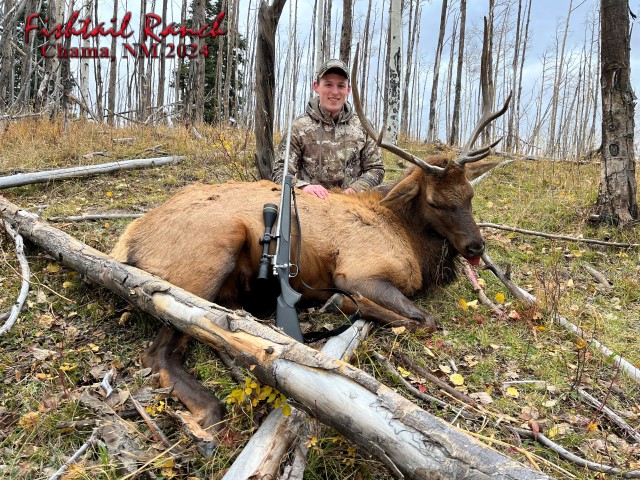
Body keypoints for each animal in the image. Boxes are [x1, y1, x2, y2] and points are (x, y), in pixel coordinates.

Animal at [110, 52, 511, 430]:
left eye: (469, 195)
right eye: (435, 202)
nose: (476, 247)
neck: (410, 239)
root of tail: (129, 238)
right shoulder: (360, 272)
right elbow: (422, 319)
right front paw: (341, 303)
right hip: (209, 257)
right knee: (160, 351)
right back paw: (210, 410)